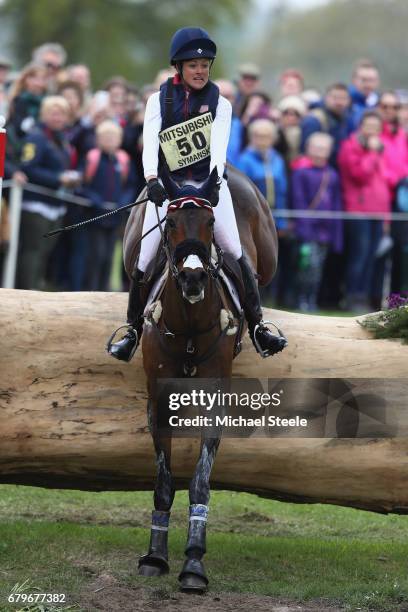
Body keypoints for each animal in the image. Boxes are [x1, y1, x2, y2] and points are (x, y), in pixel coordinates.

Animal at [122, 165, 278, 592]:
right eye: (171, 222)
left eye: (209, 223)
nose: (192, 279)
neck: (190, 324)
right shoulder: (158, 402)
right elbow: (163, 481)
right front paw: (155, 556)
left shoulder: (215, 402)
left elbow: (200, 480)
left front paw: (193, 562)